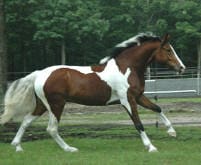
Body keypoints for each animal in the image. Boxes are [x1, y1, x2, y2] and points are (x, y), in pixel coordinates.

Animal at [0, 32, 185, 153]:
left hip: (43, 105)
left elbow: (157, 108)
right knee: (51, 128)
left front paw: (172, 132)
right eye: (168, 50)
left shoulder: (138, 97)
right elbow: (138, 123)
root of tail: (39, 74)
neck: (127, 68)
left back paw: (17, 146)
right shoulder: (127, 100)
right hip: (56, 105)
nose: (181, 67)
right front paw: (151, 147)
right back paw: (69, 149)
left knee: (26, 121)